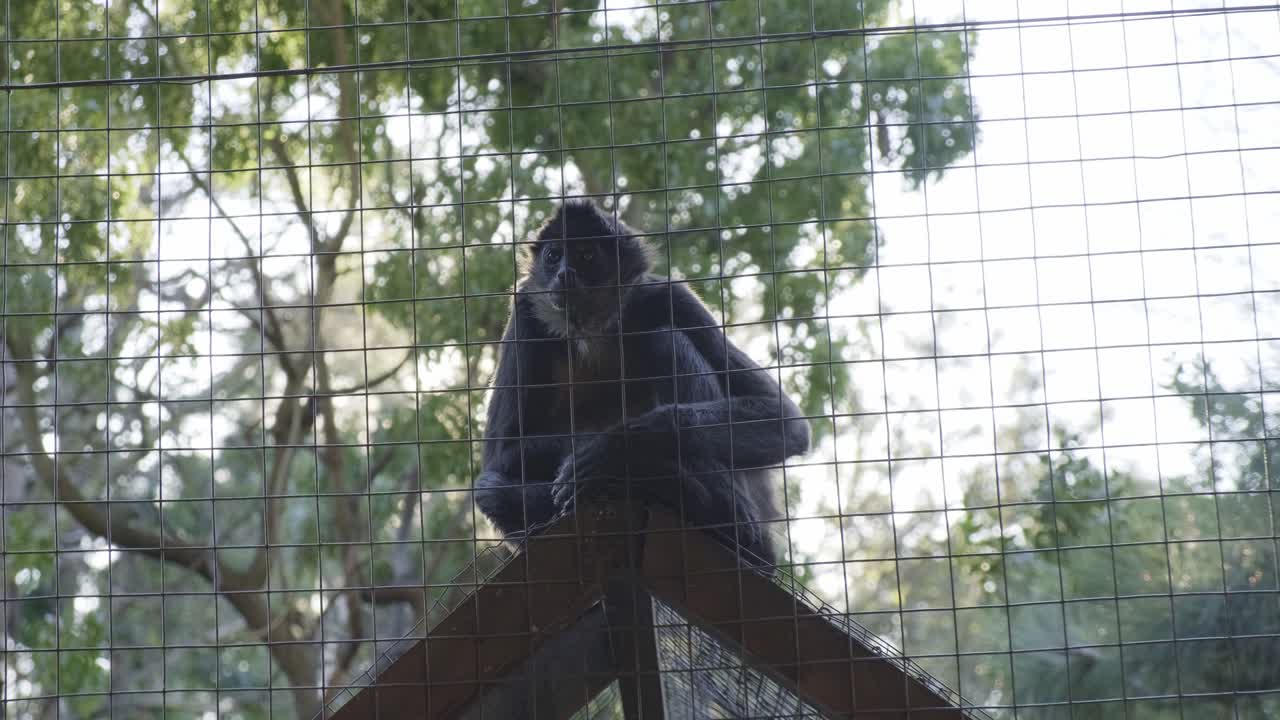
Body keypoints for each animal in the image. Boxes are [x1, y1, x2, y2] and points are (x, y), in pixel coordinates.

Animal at [472, 200, 810, 569]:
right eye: (553, 255)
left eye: (586, 255)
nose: (563, 273)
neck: (592, 330)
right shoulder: (527, 311)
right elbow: (500, 456)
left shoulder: (666, 296)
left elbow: (788, 422)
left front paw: (617, 448)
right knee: (492, 489)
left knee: (664, 340)